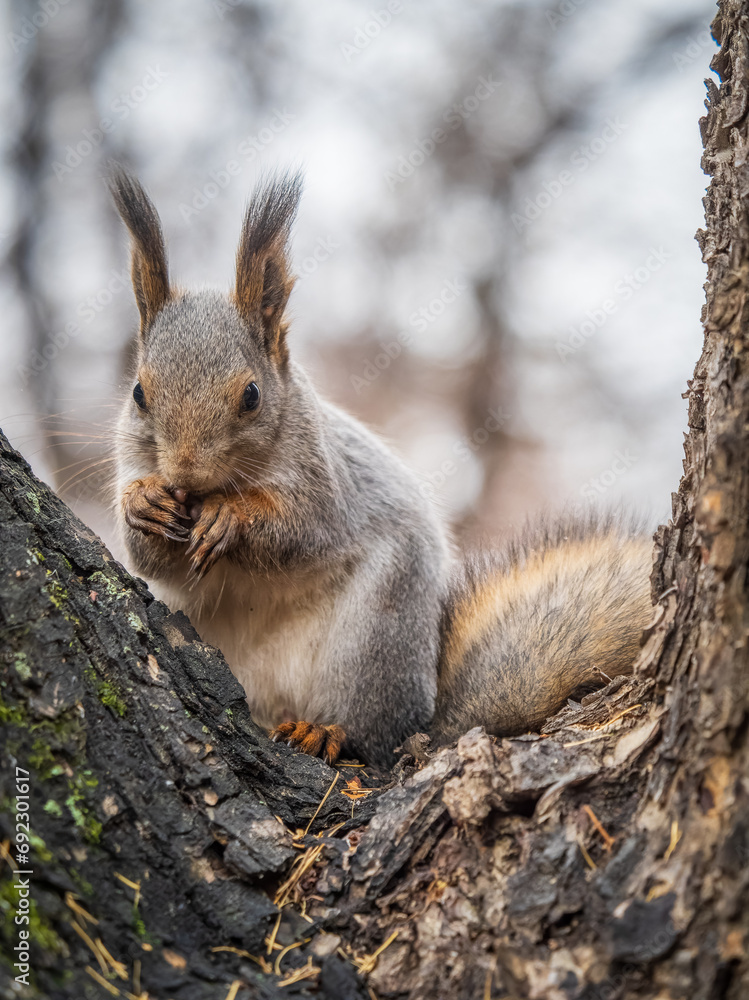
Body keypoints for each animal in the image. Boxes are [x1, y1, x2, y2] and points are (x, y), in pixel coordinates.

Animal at [110, 165, 654, 767]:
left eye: (251, 395)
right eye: (138, 393)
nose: (183, 475)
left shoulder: (326, 479)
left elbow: (302, 531)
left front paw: (233, 517)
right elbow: (151, 561)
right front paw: (144, 503)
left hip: (374, 635)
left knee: (369, 730)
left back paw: (324, 731)